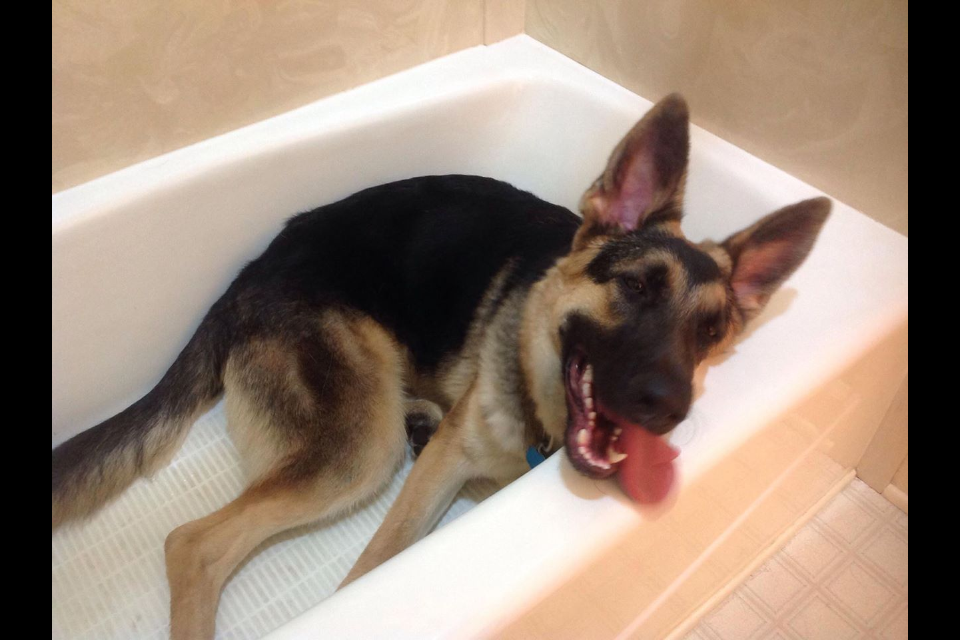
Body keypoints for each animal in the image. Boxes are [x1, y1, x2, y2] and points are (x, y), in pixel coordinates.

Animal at [52, 93, 830, 639]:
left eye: (711, 331)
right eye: (636, 288)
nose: (666, 407)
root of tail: (251, 273)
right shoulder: (439, 471)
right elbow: (370, 569)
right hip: (359, 450)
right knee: (193, 544)